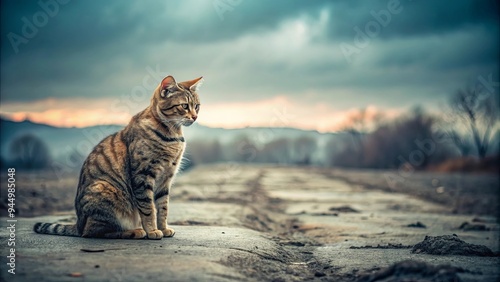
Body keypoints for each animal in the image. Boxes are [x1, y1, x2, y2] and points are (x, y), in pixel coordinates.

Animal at [33, 75, 203, 240]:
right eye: (184, 106)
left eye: (197, 106)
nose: (195, 117)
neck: (172, 134)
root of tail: (78, 224)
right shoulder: (143, 176)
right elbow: (148, 209)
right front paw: (153, 230)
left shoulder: (165, 180)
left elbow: (163, 208)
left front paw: (163, 228)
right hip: (105, 190)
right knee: (94, 231)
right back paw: (134, 232)